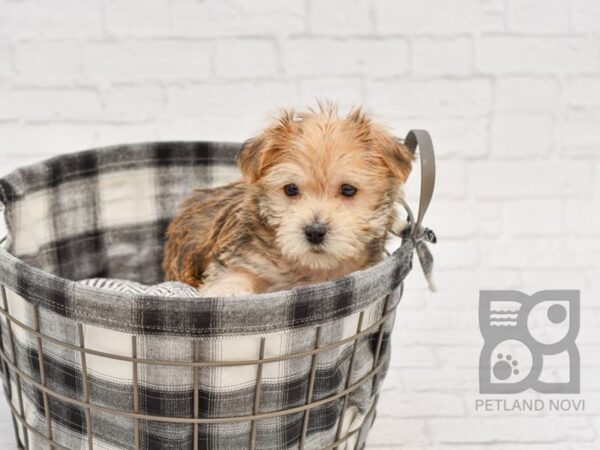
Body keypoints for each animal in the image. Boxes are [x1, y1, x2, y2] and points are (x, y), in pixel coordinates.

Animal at [161, 103, 412, 298]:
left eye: (348, 190)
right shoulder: (241, 258)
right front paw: (227, 292)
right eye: (291, 189)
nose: (314, 232)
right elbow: (234, 275)